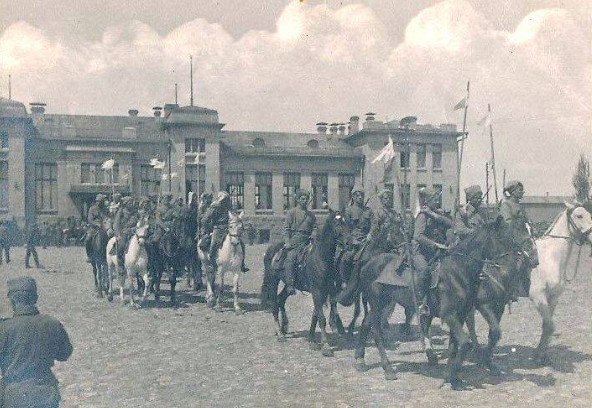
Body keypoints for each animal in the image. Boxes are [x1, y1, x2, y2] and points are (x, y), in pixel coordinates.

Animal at [260, 210, 352, 356]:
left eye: (348, 222)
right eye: (337, 223)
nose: (350, 243)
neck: (321, 258)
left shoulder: (327, 291)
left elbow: (317, 315)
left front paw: (312, 340)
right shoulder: (317, 291)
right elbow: (321, 318)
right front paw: (326, 346)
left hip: (289, 285)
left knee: (281, 299)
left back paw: (284, 327)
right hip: (272, 281)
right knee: (274, 303)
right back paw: (280, 333)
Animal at [346, 215, 508, 388]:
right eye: (501, 238)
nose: (504, 269)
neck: (458, 271)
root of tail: (368, 262)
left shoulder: (460, 314)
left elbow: (455, 345)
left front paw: (452, 378)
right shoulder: (449, 315)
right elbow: (464, 343)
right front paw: (451, 376)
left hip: (384, 303)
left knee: (366, 323)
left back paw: (360, 360)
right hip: (377, 303)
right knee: (376, 330)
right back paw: (388, 369)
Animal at [528, 202, 592, 364]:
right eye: (579, 216)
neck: (550, 257)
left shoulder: (553, 298)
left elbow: (547, 326)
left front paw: (541, 355)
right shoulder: (538, 297)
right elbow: (550, 326)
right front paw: (538, 356)